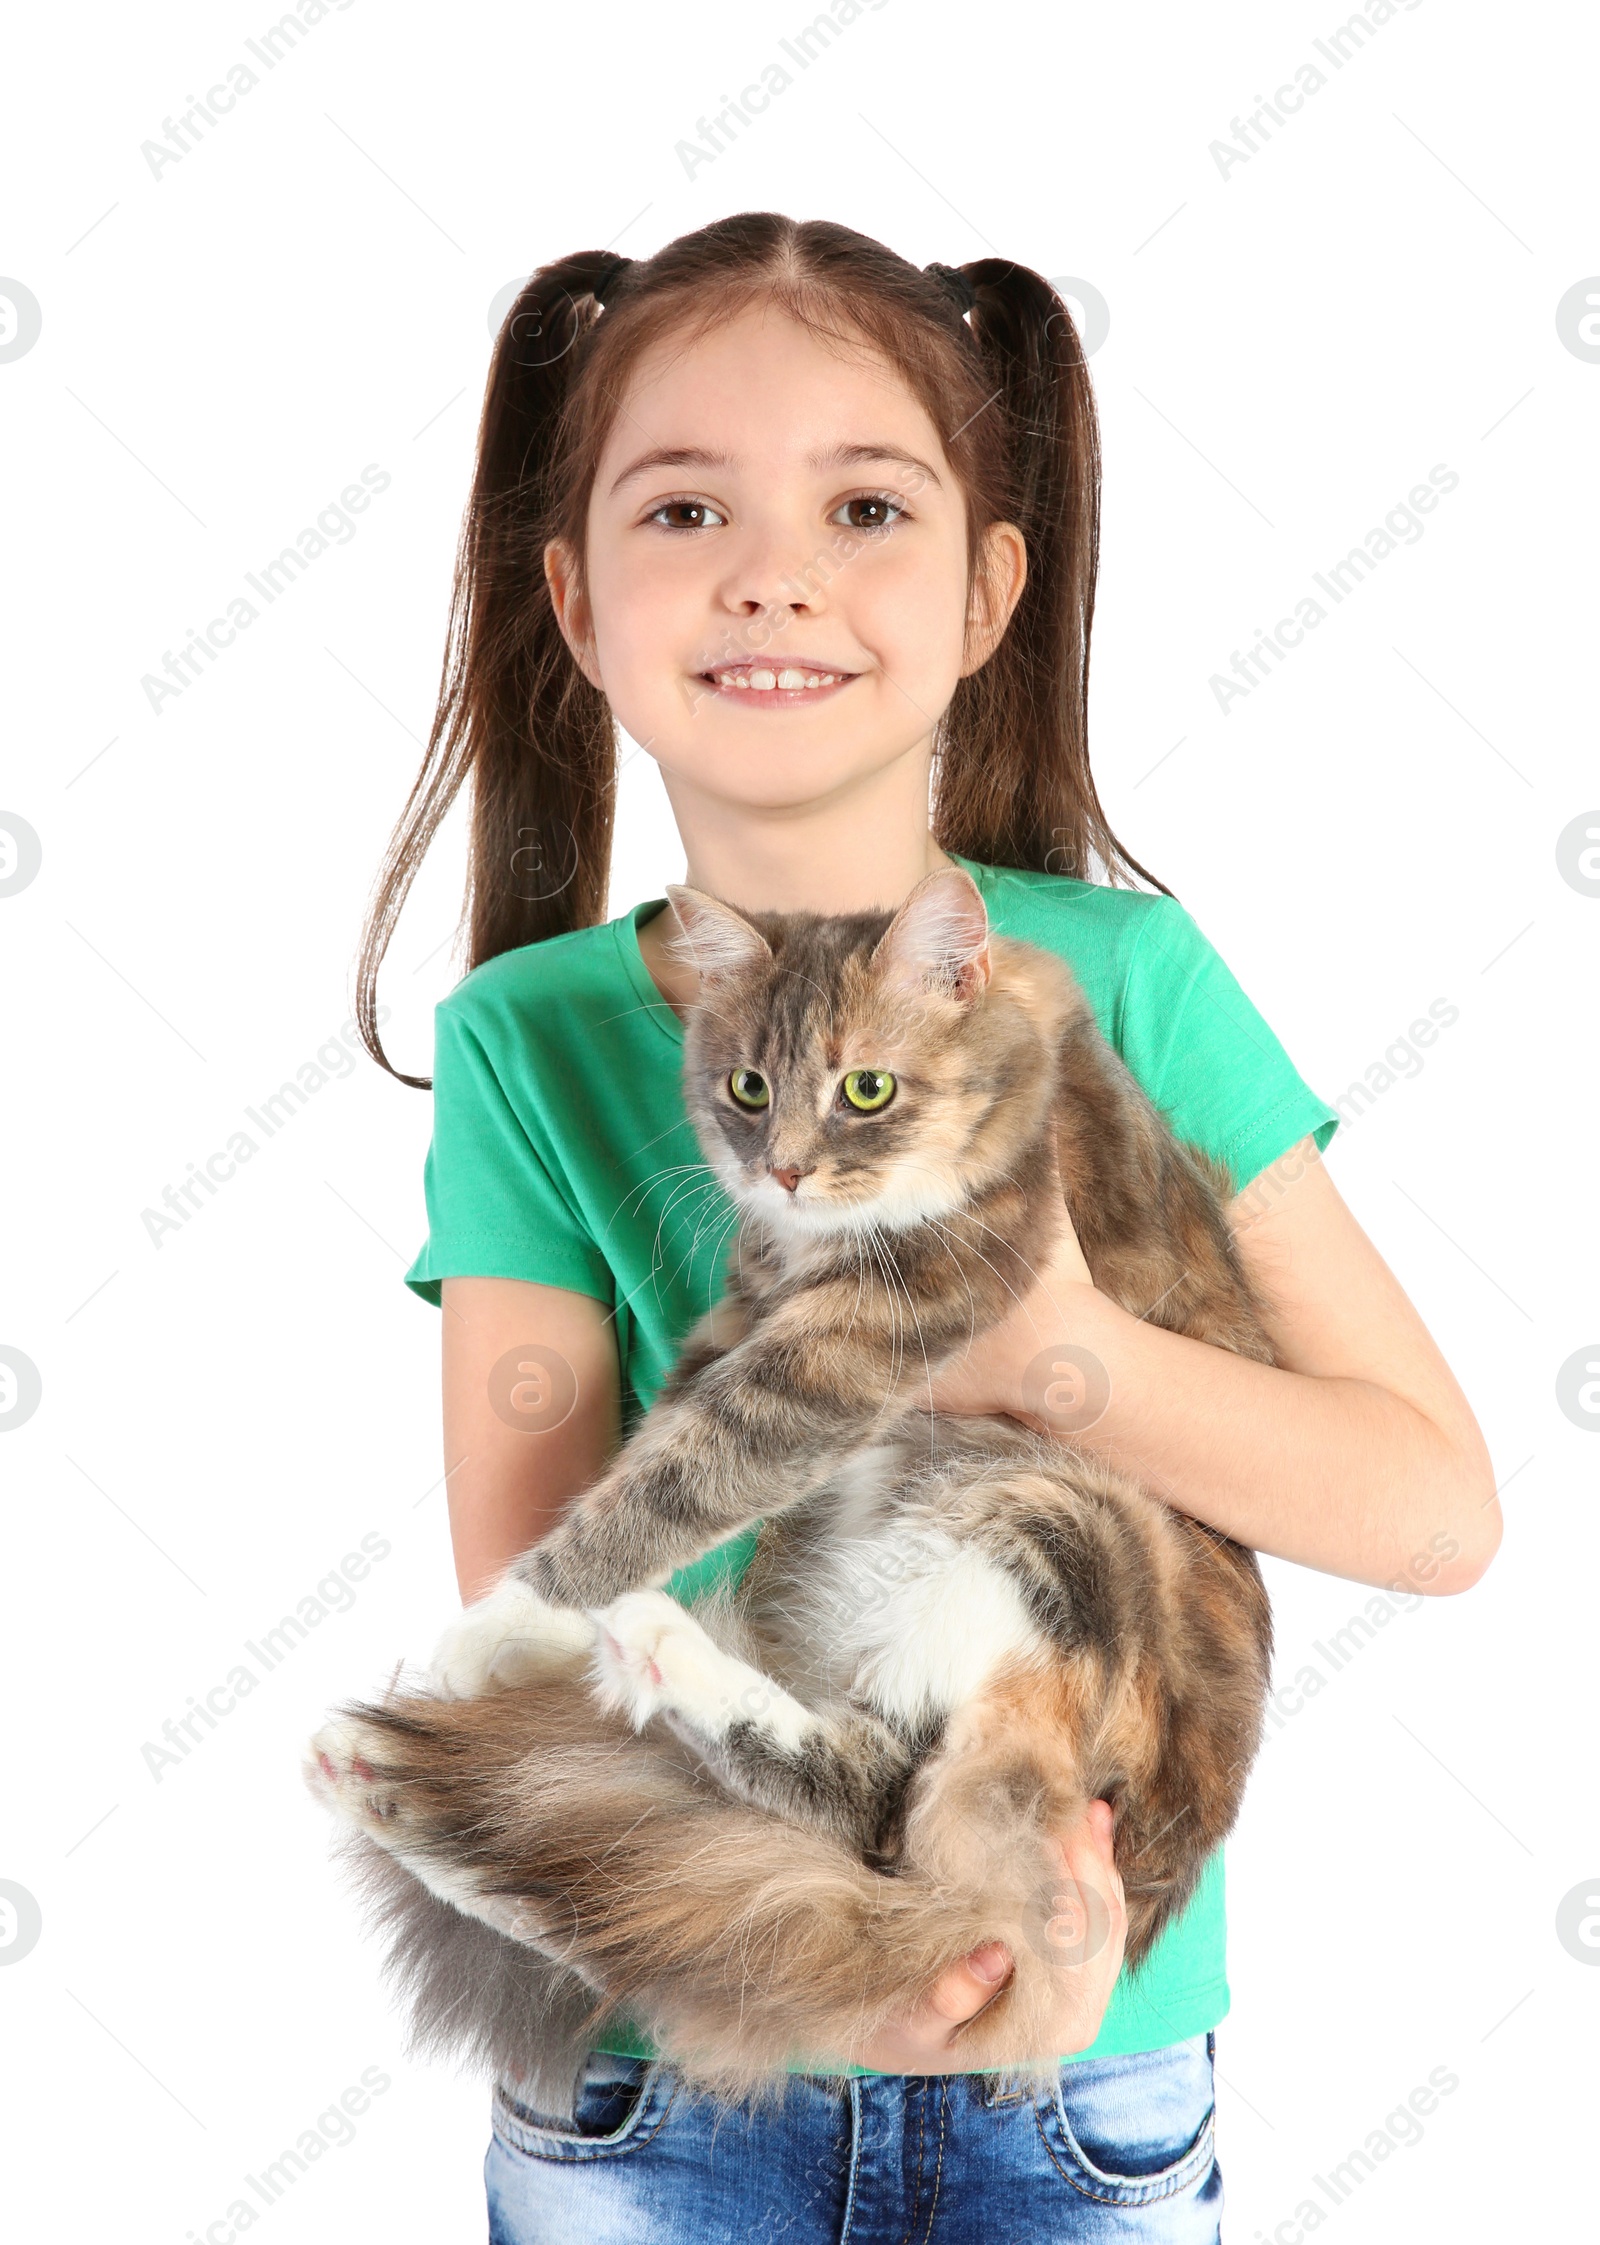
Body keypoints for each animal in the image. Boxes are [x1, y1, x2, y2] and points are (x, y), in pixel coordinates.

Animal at [309, 862, 1274, 2101]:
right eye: (747, 1087)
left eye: (866, 1088)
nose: (784, 1168)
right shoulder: (743, 1311)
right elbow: (649, 1451)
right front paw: (538, 1632)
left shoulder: (857, 1332)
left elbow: (681, 1475)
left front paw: (503, 1624)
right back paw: (402, 1771)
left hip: (1050, 1522)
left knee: (869, 1806)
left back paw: (647, 1655)